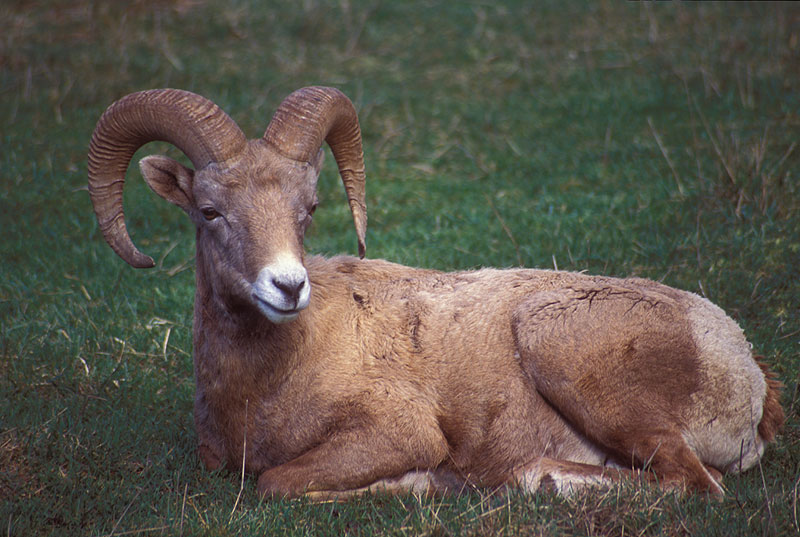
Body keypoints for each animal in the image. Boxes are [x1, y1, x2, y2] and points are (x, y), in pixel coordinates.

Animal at [87, 86, 783, 500]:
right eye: (209, 211)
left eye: (307, 209)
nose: (287, 286)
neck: (265, 384)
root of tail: (744, 371)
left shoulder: (397, 432)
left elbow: (277, 483)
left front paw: (417, 485)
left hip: (568, 356)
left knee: (691, 484)